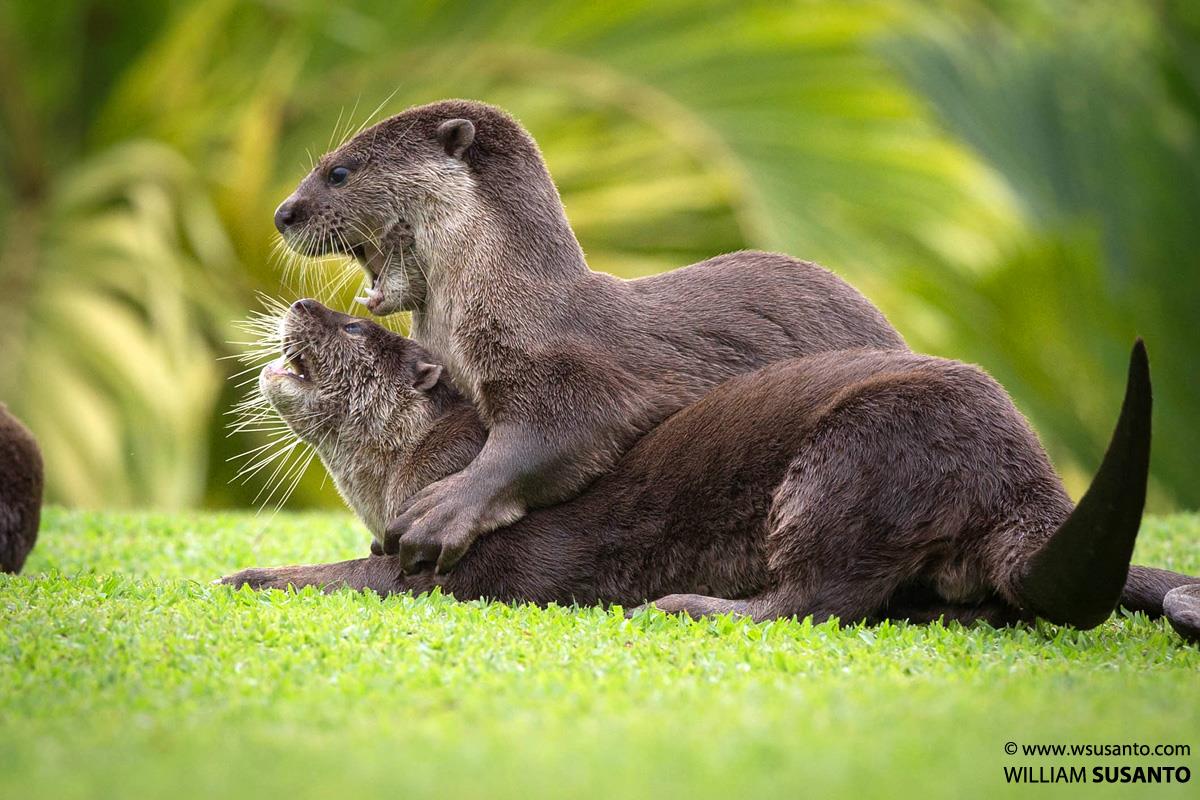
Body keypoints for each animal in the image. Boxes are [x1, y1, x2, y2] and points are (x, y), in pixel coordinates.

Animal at [221, 300, 1198, 632]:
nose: (301, 305)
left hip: (860, 459)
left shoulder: (472, 554)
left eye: (353, 329)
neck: (428, 461)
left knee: (821, 597)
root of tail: (1021, 478)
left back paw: (691, 606)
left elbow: (356, 573)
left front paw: (246, 574)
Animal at [274, 99, 908, 573]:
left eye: (339, 172)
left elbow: (559, 432)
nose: (283, 213)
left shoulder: (572, 367)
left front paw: (440, 511)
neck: (499, 303)